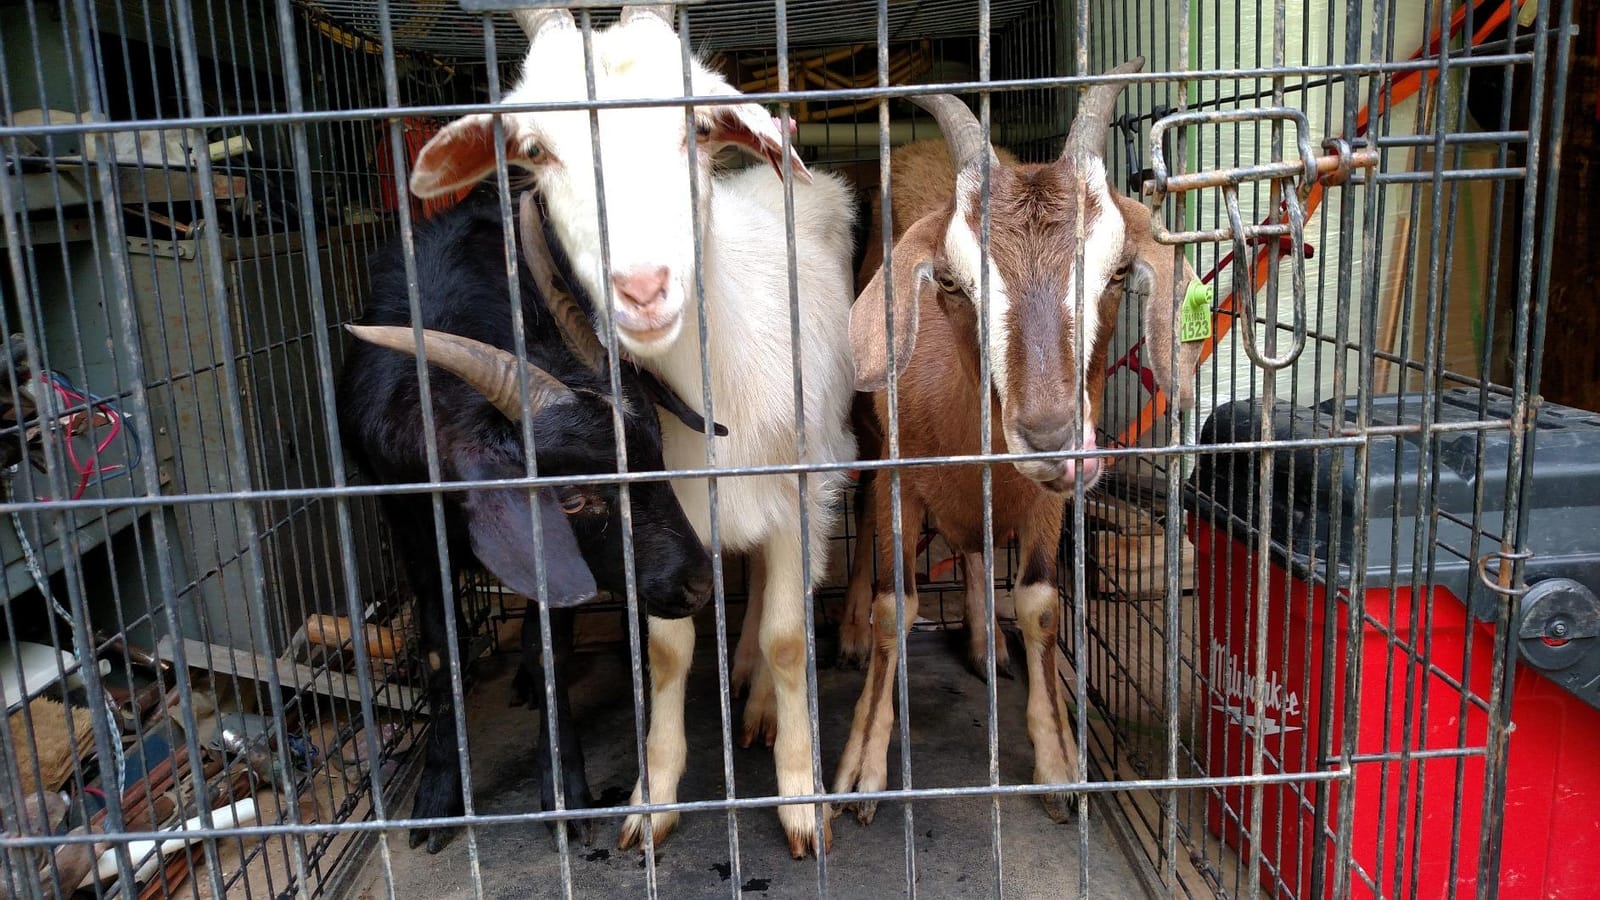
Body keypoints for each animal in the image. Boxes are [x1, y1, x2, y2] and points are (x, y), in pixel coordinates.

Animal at [336, 188, 718, 853]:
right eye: (571, 499)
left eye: (658, 454)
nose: (696, 583)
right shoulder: (413, 533)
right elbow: (440, 654)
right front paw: (438, 796)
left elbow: (551, 653)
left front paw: (564, 794)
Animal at [404, 5, 858, 857]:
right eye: (536, 151)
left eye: (695, 128)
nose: (642, 289)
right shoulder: (654, 518)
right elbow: (668, 648)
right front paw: (654, 797)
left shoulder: (803, 488)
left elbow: (788, 638)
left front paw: (801, 800)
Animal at [832, 57, 1204, 826]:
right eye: (950, 282)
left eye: (1117, 273)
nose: (1050, 435)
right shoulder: (901, 478)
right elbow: (895, 607)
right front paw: (863, 769)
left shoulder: (1049, 504)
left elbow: (1038, 604)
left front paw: (1059, 761)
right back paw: (850, 629)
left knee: (976, 549)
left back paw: (983, 643)